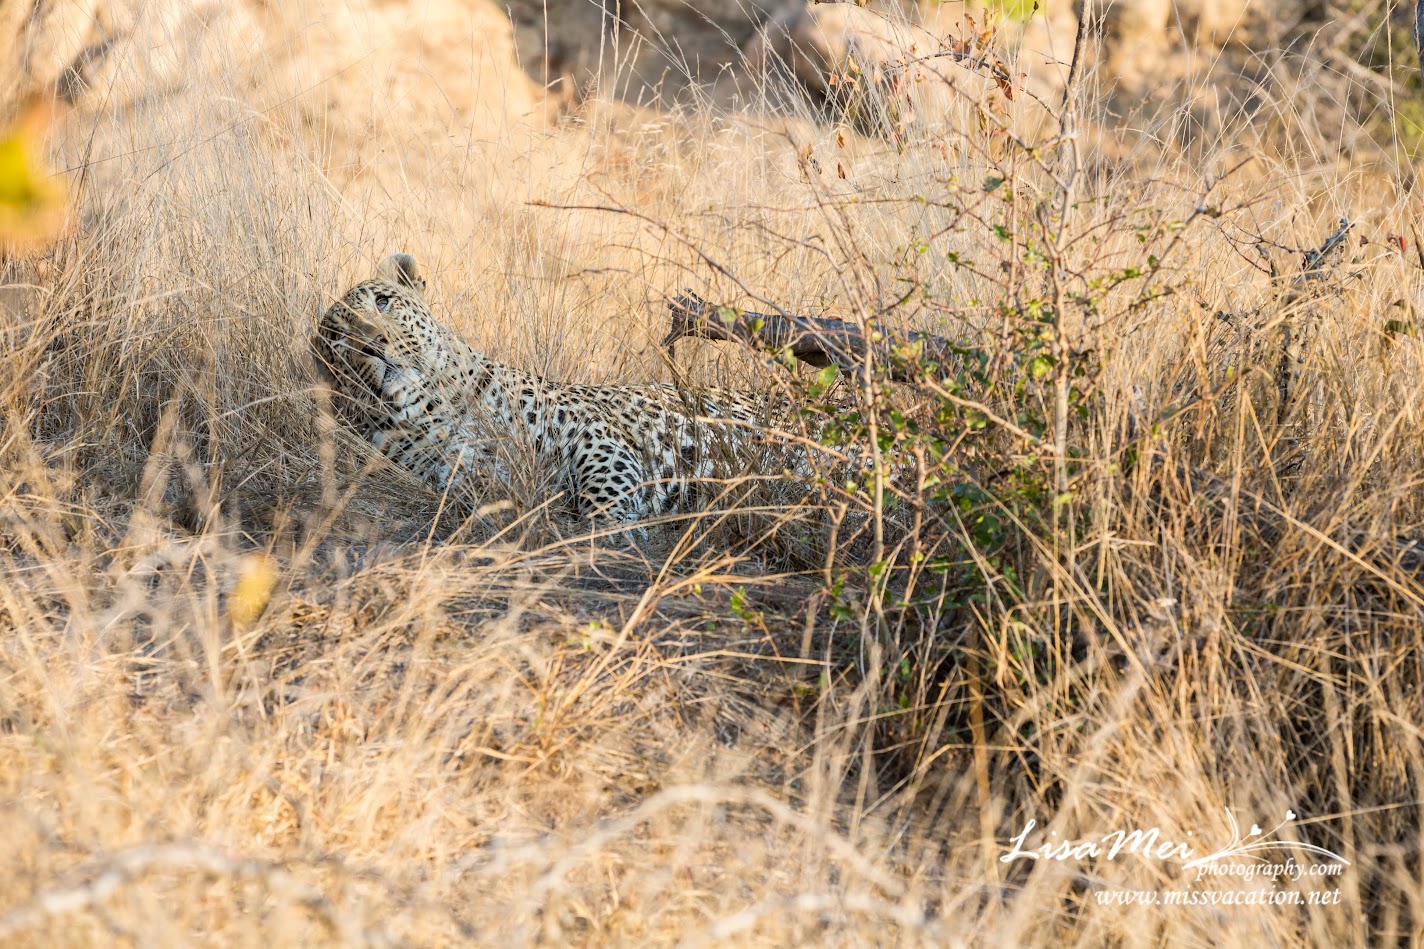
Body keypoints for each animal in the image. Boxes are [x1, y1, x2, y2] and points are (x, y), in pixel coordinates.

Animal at [314, 253, 772, 527]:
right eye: (340, 339)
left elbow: (603, 483)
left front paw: (609, 530)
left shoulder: (593, 432)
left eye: (383, 301)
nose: (373, 344)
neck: (434, 404)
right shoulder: (459, 475)